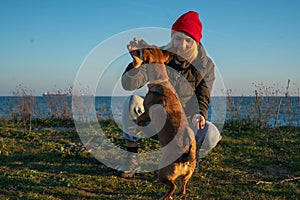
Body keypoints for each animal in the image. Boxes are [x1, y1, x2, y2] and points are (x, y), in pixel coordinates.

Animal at [135, 40, 197, 200]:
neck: (161, 80)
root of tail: (184, 157)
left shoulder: (146, 113)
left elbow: (139, 118)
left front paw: (138, 126)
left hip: (163, 173)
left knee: (172, 186)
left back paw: (166, 196)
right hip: (187, 174)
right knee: (183, 184)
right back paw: (180, 193)